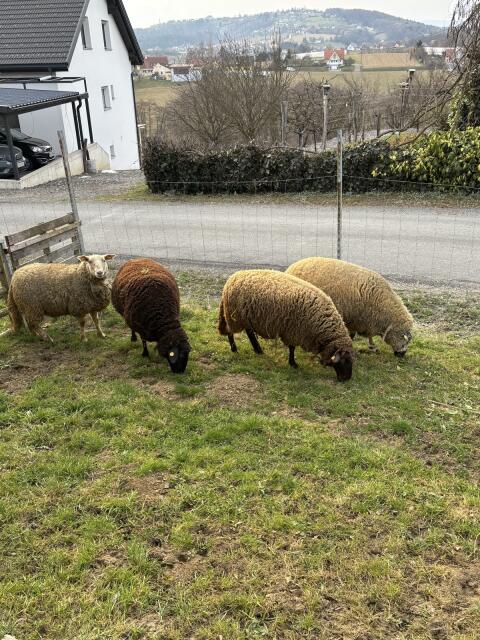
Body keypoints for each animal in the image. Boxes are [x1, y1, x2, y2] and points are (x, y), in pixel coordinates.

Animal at [218, 269, 355, 381]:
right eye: (343, 361)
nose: (346, 379)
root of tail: (232, 278)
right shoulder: (292, 332)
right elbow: (292, 348)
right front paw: (293, 363)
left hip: (246, 318)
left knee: (249, 332)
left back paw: (258, 350)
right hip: (235, 317)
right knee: (230, 332)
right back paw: (234, 349)